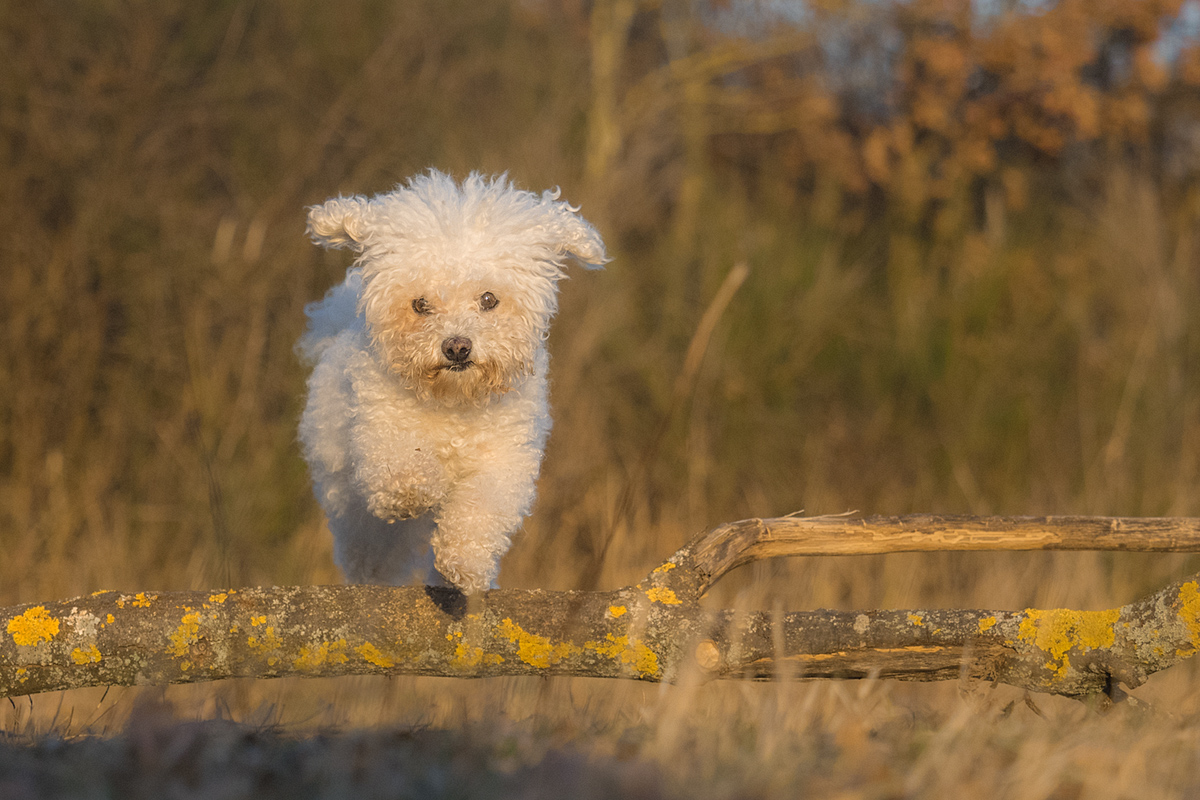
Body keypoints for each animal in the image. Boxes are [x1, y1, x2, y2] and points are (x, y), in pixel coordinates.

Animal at [295, 170, 604, 594]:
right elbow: (402, 467)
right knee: (370, 552)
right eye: (420, 305)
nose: (457, 346)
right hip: (353, 506)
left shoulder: (502, 459)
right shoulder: (383, 428)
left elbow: (479, 513)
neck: (455, 403)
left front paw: (465, 564)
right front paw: (414, 489)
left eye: (489, 299)